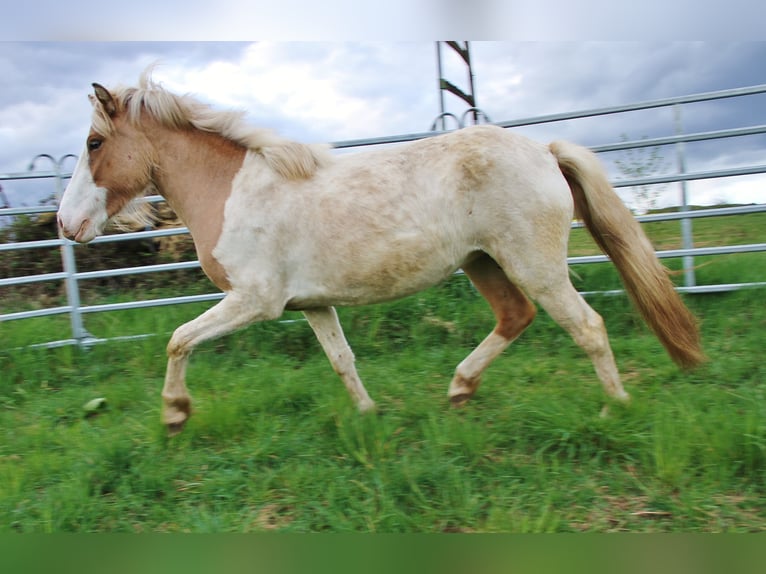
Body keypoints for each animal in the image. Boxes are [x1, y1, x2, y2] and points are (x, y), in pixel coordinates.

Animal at [57, 70, 705, 435]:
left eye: (94, 142)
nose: (66, 223)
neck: (235, 190)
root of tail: (544, 150)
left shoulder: (254, 302)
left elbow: (178, 340)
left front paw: (174, 415)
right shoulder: (311, 304)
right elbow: (342, 360)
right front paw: (370, 417)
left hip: (535, 265)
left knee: (587, 326)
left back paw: (614, 410)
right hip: (483, 262)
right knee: (514, 317)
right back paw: (459, 390)